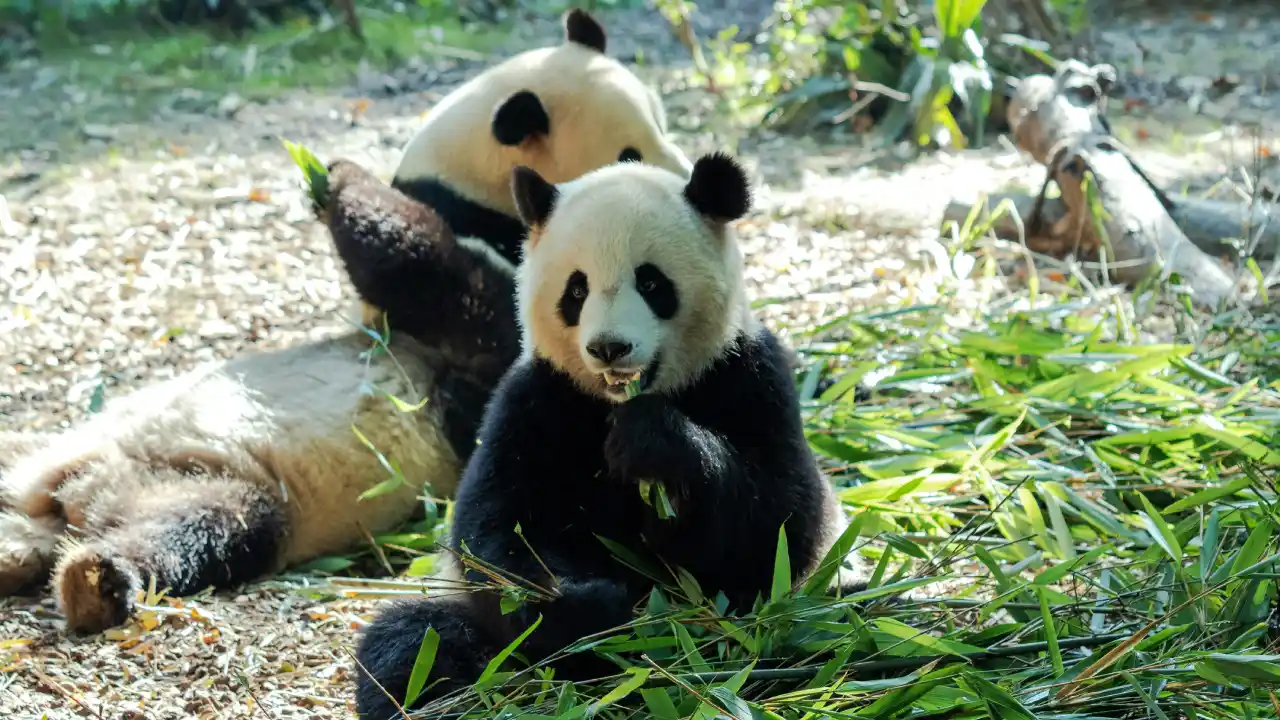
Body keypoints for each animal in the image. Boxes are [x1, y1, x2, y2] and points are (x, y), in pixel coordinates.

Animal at [0, 9, 692, 635]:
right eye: (633, 146)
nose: (687, 180)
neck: (475, 196)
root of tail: (71, 492)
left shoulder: (490, 320)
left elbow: (432, 278)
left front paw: (337, 178)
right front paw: (325, 172)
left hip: (220, 486)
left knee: (200, 526)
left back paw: (94, 580)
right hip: (70, 454)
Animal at [352, 153, 864, 720]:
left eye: (652, 283)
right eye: (576, 290)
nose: (609, 349)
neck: (616, 401)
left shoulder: (749, 375)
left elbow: (779, 523)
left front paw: (653, 444)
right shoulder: (537, 399)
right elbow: (496, 533)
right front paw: (588, 604)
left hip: (805, 613)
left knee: (825, 634)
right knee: (414, 644)